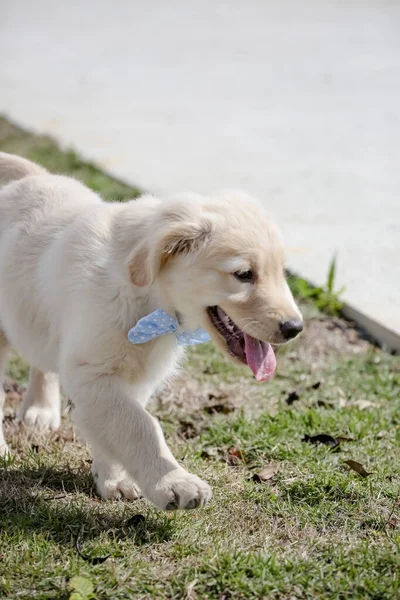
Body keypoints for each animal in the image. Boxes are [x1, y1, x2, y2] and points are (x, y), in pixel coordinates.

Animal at [0, 152, 302, 508]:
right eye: (244, 274)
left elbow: (116, 428)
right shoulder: (92, 374)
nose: (295, 327)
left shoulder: (130, 379)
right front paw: (174, 483)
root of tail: (32, 176)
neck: (148, 297)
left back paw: (40, 409)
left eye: (281, 271)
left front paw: (113, 479)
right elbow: (139, 425)